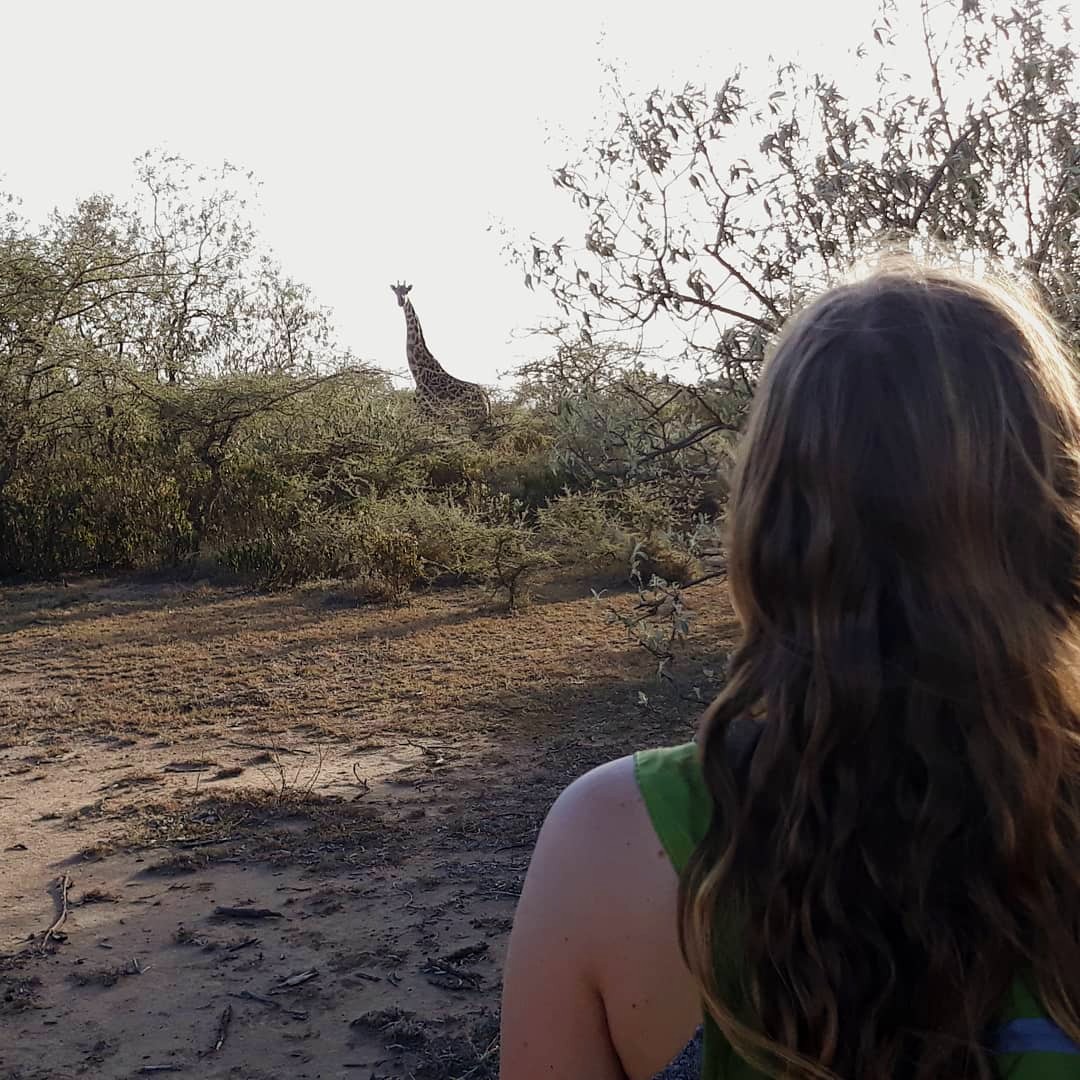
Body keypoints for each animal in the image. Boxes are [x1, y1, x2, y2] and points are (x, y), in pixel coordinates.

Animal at [390, 285, 492, 423]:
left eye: (406, 291)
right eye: (396, 292)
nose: (401, 301)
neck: (418, 373)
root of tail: (487, 400)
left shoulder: (426, 414)